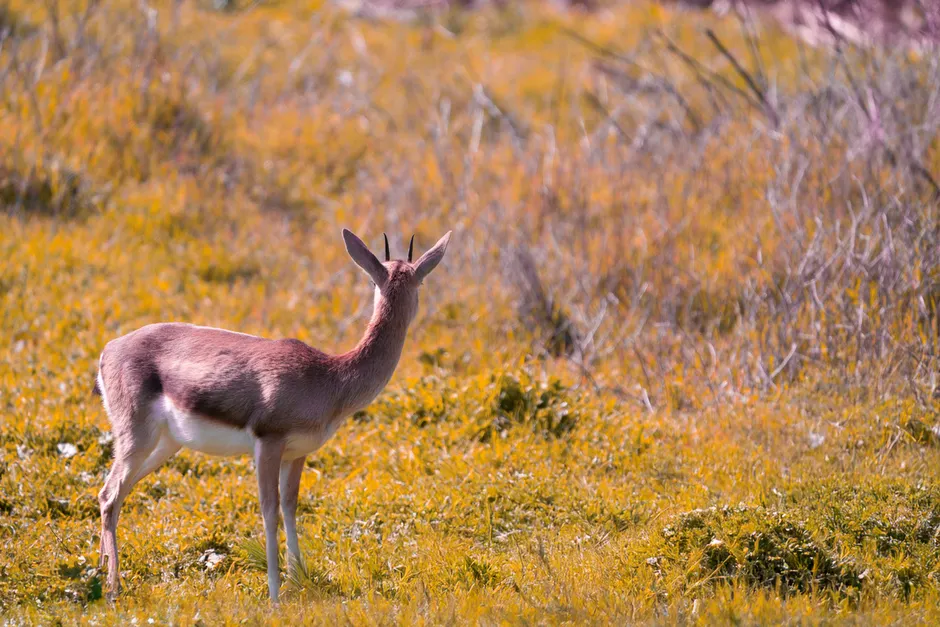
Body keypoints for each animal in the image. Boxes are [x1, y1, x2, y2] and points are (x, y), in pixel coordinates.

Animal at [93, 228, 451, 602]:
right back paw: (114, 586)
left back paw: (101, 572)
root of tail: (109, 349)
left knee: (114, 495)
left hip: (164, 445)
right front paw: (276, 594)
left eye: (416, 280)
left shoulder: (297, 453)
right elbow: (269, 510)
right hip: (136, 438)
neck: (329, 377)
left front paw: (299, 579)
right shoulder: (268, 444)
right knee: (109, 494)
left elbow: (291, 506)